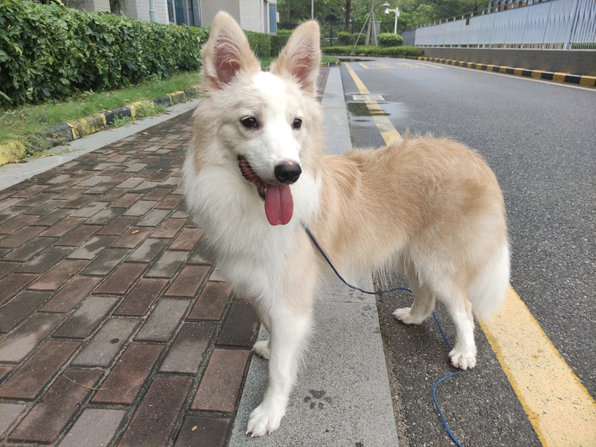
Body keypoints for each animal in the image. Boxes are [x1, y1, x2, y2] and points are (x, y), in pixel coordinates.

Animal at [183, 11, 510, 437]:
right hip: (413, 255)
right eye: (249, 122)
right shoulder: (261, 286)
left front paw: (270, 411)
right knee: (427, 295)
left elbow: (280, 370)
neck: (248, 203)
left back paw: (464, 352)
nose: (289, 172)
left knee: (464, 308)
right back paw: (413, 316)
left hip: (438, 260)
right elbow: (271, 332)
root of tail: (473, 157)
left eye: (297, 123)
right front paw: (269, 347)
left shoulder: (290, 299)